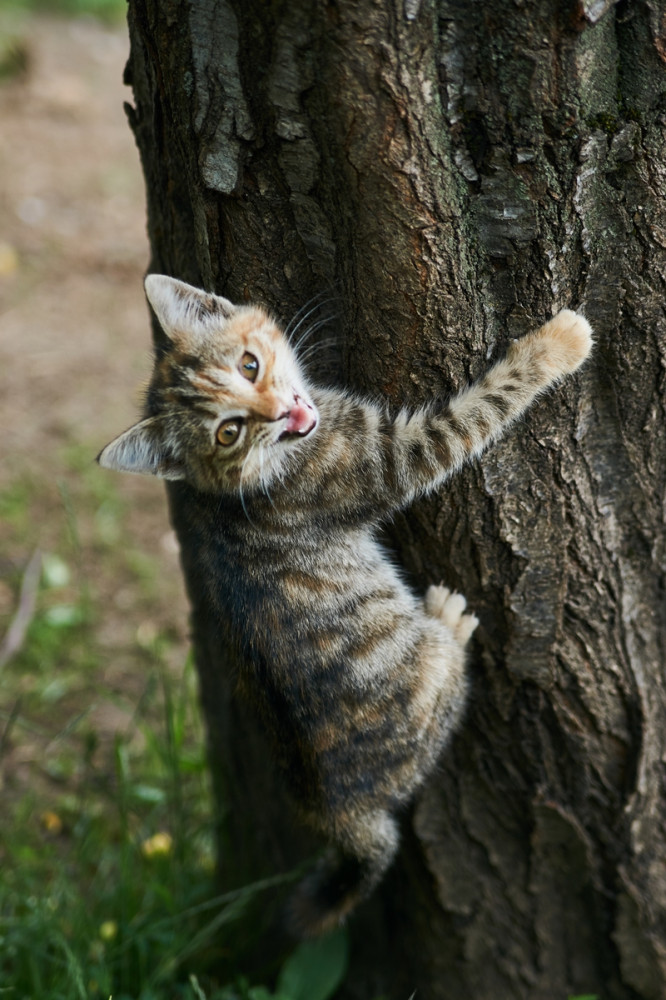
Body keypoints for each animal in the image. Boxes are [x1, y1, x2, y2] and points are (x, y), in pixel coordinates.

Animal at [98, 276, 592, 936]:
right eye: (229, 432)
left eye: (250, 365)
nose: (280, 412)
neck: (233, 489)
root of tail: (334, 816)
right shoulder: (390, 460)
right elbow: (476, 412)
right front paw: (558, 344)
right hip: (419, 676)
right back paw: (449, 623)